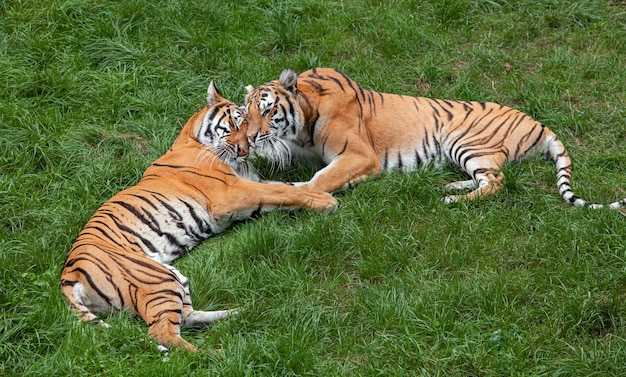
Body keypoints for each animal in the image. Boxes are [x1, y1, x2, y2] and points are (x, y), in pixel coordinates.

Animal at [59, 81, 336, 352]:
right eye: (238, 122)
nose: (246, 150)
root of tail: (69, 274)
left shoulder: (250, 184)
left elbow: (289, 187)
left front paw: (319, 190)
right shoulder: (233, 193)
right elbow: (282, 191)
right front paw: (327, 201)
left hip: (173, 277)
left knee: (186, 317)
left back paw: (237, 312)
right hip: (156, 279)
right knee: (162, 332)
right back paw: (214, 354)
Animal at [245, 67, 624, 209]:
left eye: (267, 110)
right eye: (245, 113)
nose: (250, 136)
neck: (302, 126)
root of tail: (538, 122)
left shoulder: (358, 156)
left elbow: (322, 178)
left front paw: (299, 191)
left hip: (465, 140)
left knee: (497, 183)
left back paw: (452, 200)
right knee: (489, 178)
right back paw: (451, 186)